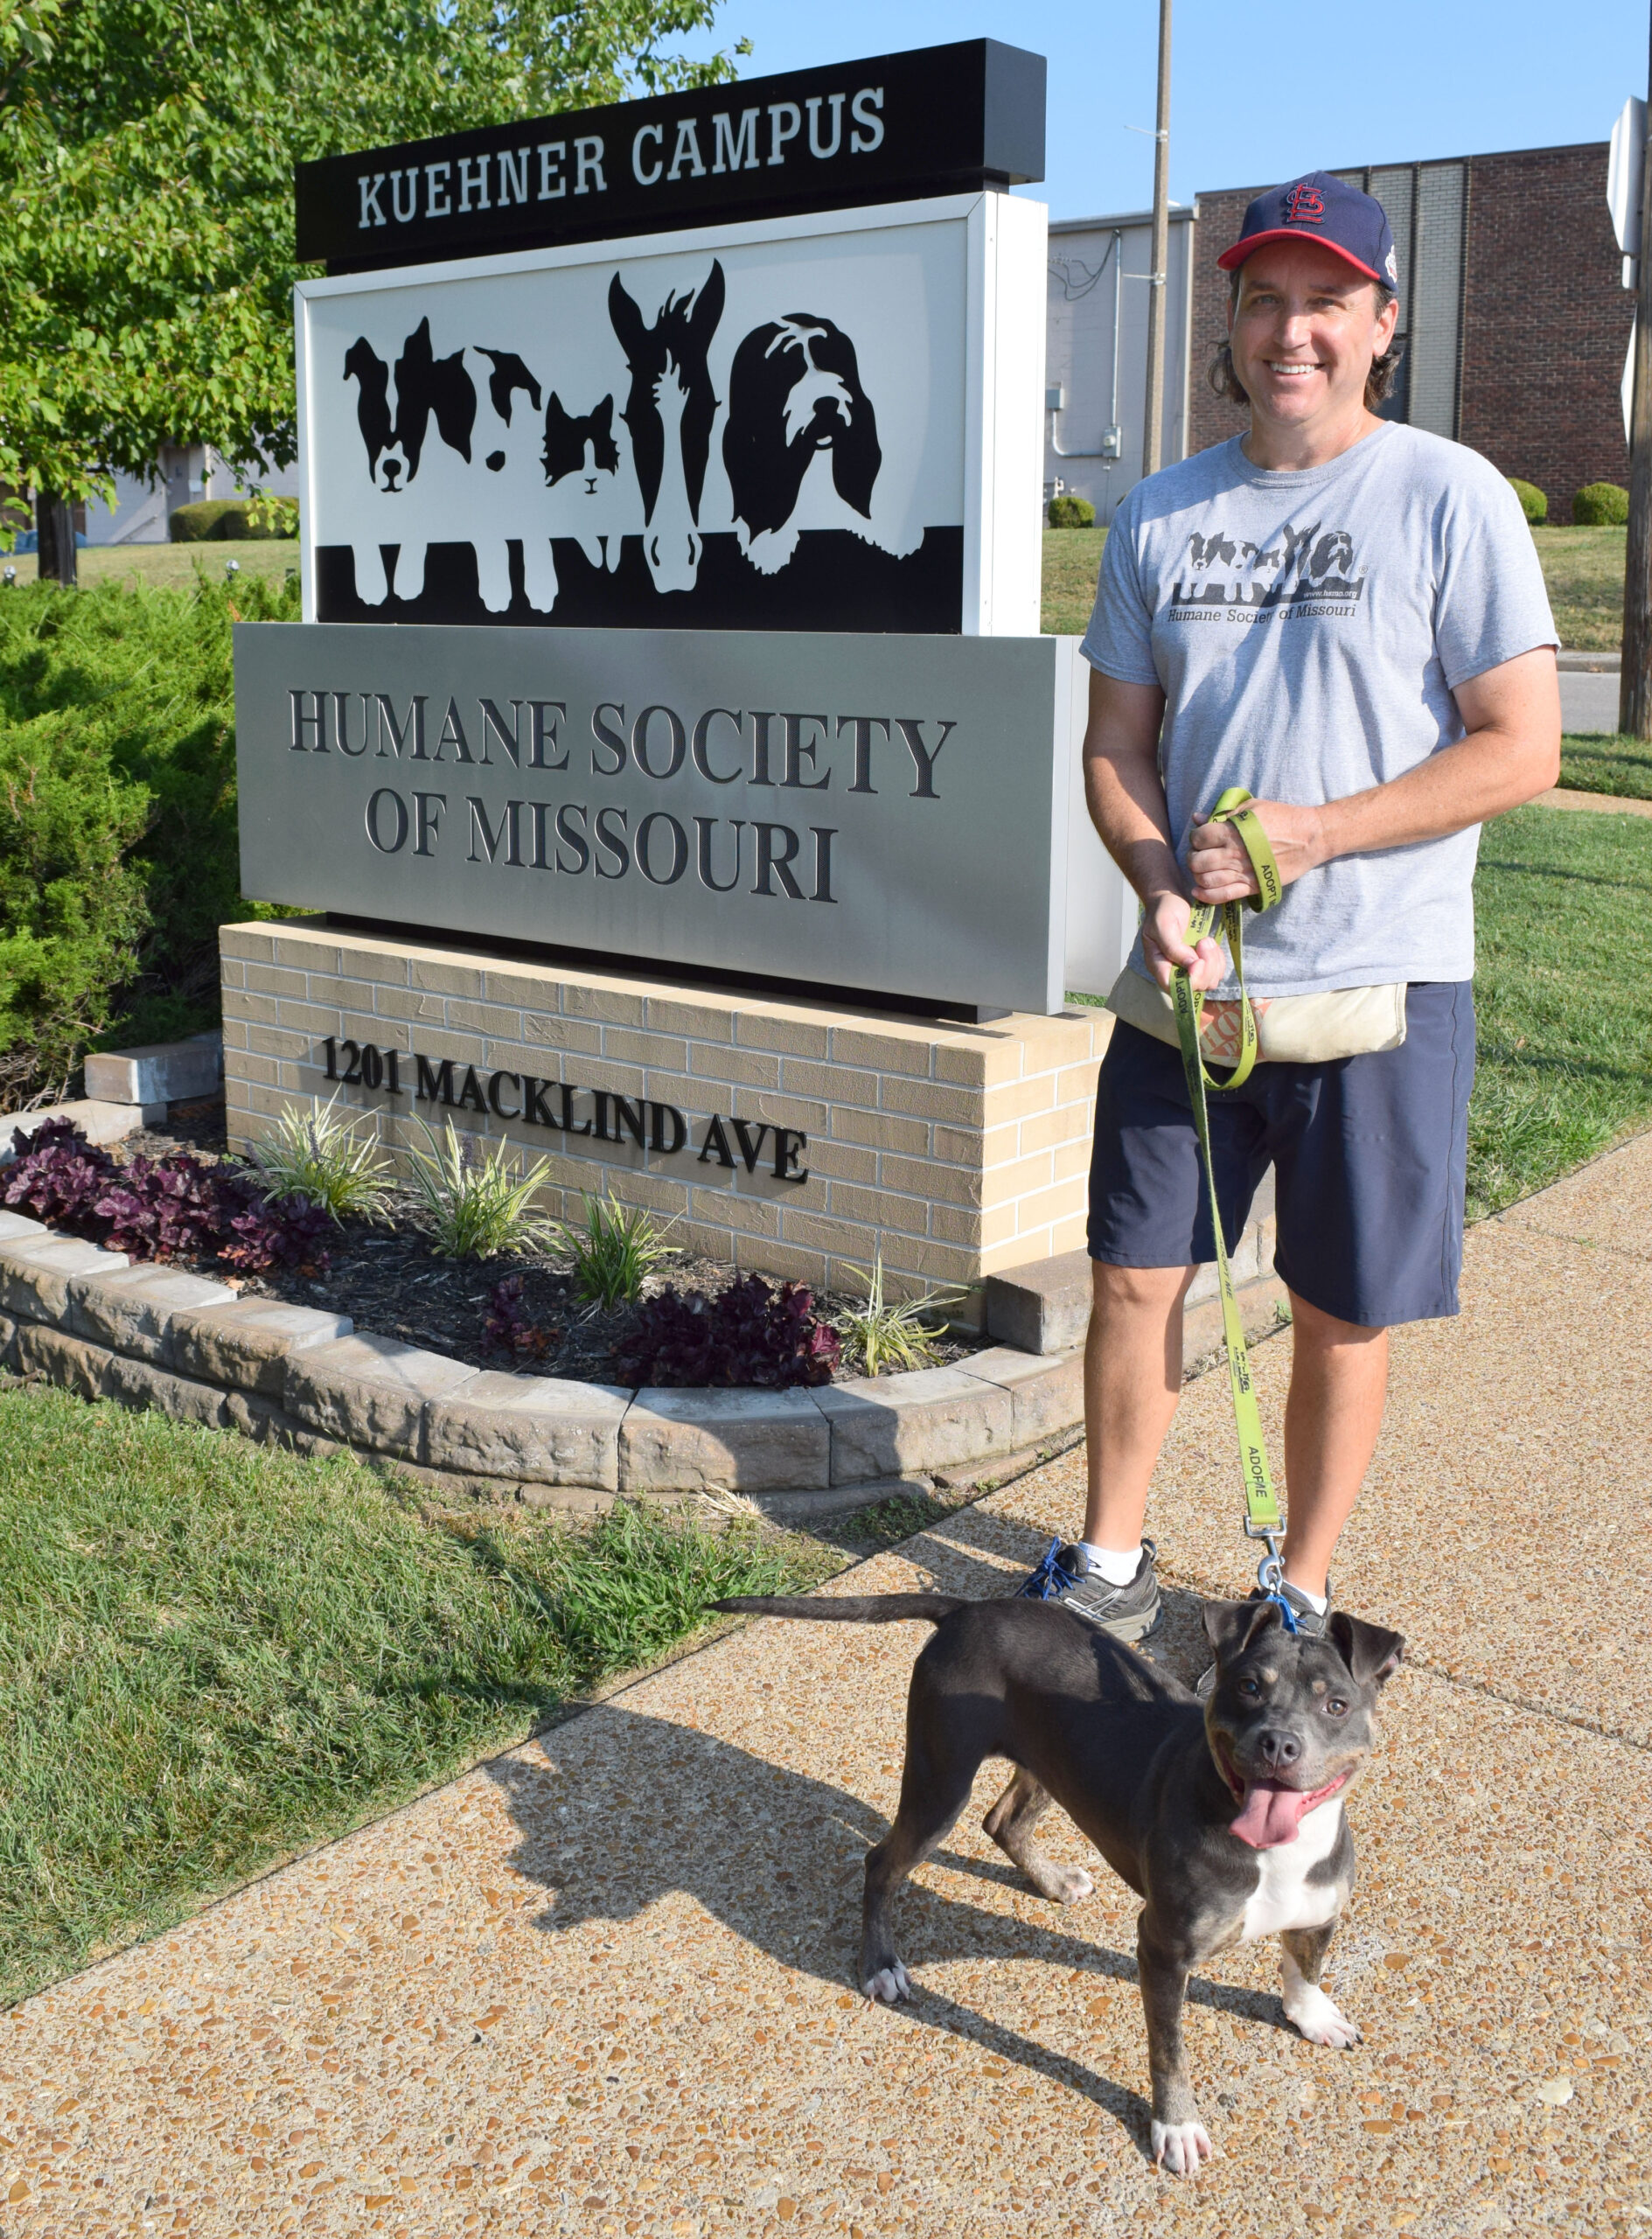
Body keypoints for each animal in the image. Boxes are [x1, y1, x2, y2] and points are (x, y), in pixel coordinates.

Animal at [716, 1585, 1397, 2176]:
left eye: (1336, 1705)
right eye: (1249, 1687)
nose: (1278, 1743)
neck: (1274, 1849)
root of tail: (969, 1609)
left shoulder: (1320, 1912)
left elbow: (1304, 1968)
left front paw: (1310, 2016)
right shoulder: (1162, 1950)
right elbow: (1168, 2051)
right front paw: (1175, 2126)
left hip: (1050, 1763)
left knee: (1001, 1822)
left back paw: (1051, 1882)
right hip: (941, 1780)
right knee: (882, 1862)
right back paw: (880, 1963)